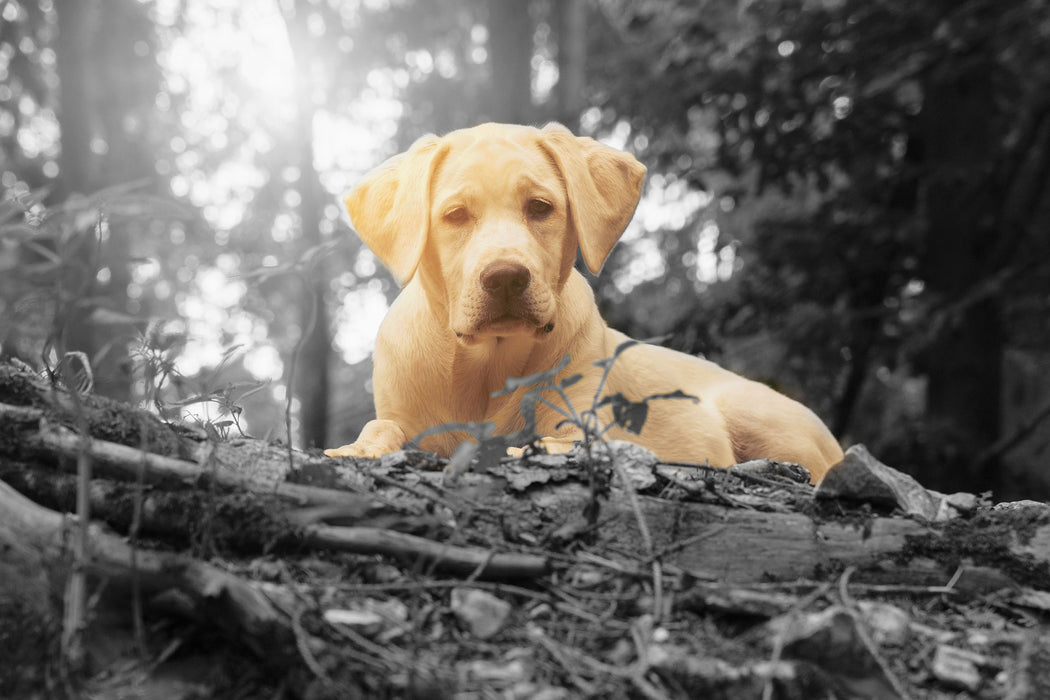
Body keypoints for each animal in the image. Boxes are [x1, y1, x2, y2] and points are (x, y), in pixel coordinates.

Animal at [327, 121, 844, 482]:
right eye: (455, 215)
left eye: (540, 207)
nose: (506, 277)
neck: (489, 364)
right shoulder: (402, 414)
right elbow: (381, 428)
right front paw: (356, 448)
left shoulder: (580, 417)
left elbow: (569, 440)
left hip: (756, 414)